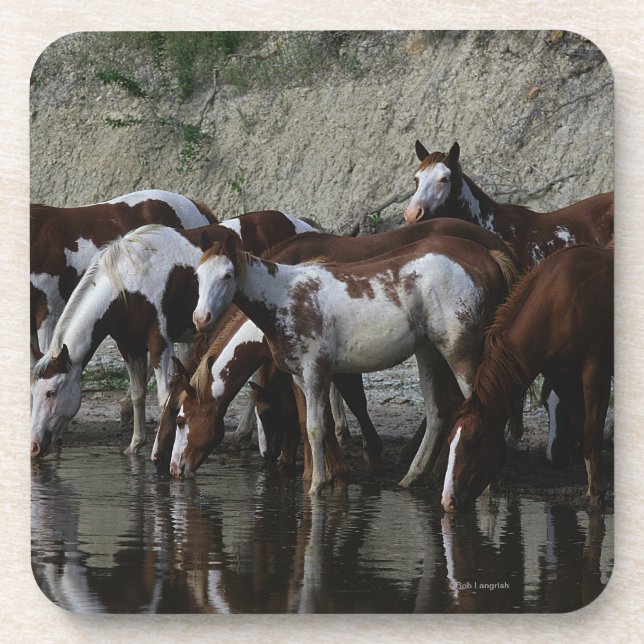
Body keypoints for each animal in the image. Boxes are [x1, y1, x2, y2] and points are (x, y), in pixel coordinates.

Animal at [30, 211, 318, 459]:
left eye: (51, 392)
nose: (34, 446)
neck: (128, 282)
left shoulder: (159, 342)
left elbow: (164, 397)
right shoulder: (129, 345)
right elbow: (137, 394)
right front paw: (135, 444)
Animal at [191, 230, 516, 494]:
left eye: (227, 275)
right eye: (198, 276)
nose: (201, 318)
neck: (285, 296)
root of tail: (482, 263)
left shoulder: (315, 372)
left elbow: (315, 427)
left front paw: (317, 485)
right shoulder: (300, 376)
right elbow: (316, 424)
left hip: (459, 354)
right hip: (428, 353)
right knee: (437, 413)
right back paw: (412, 477)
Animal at [441, 244, 613, 511]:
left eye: (473, 441)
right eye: (450, 441)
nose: (448, 499)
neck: (562, 302)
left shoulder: (596, 371)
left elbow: (591, 432)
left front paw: (596, 496)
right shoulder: (561, 376)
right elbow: (580, 427)